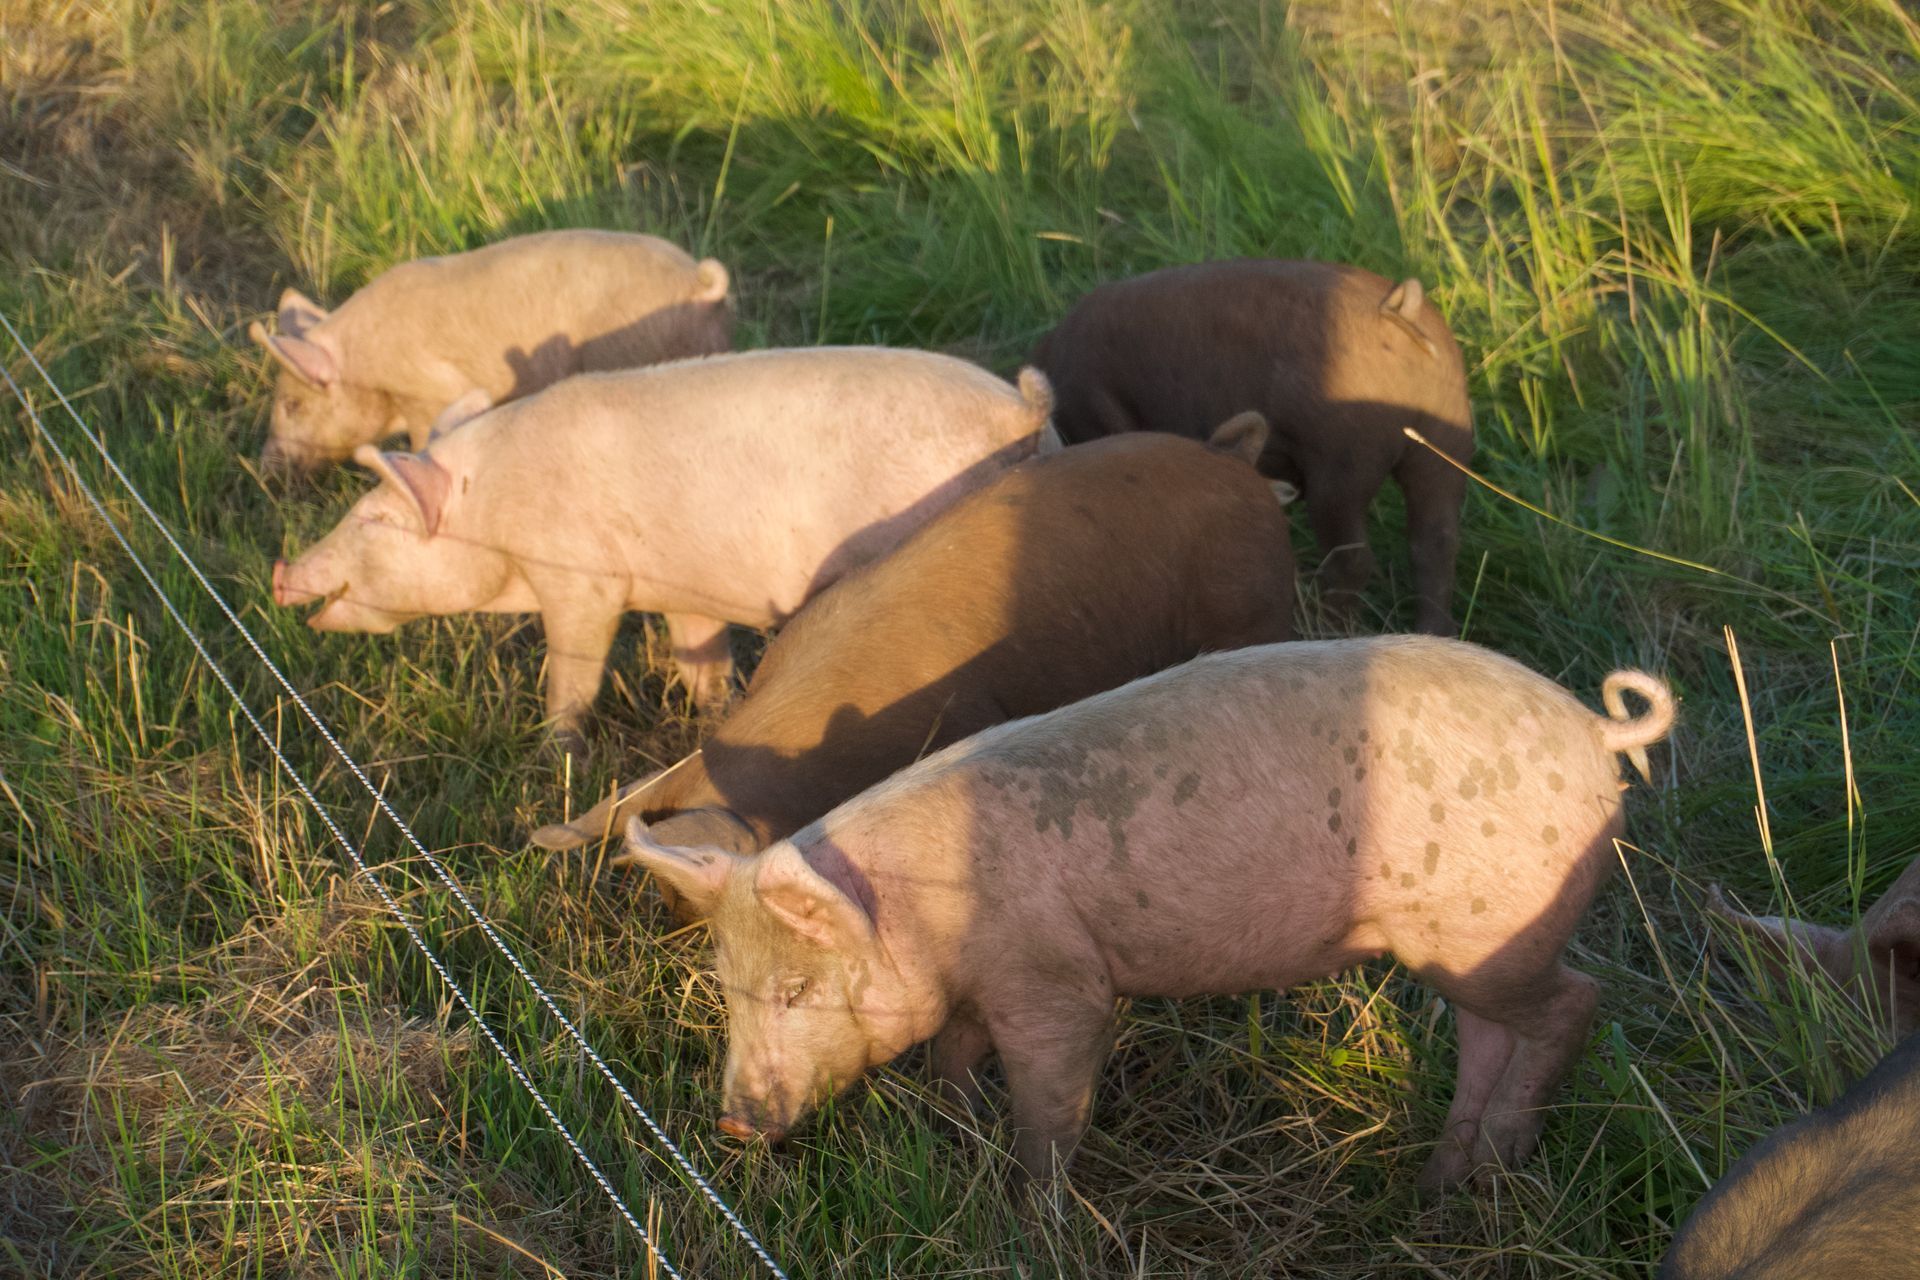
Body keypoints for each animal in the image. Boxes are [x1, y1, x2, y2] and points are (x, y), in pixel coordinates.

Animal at [270, 347, 1056, 752]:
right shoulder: (687, 593)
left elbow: (574, 669)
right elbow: (699, 661)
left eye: (375, 519)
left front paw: (554, 751)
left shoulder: (581, 579)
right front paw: (711, 720)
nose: (280, 573)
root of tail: (1021, 411)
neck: (495, 501)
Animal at [616, 634, 1674, 1190]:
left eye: (797, 991)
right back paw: (1445, 1180)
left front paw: (1030, 1208)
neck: (924, 910)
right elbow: (957, 1052)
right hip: (1461, 945)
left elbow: (1052, 1102)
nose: (733, 1126)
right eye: (729, 990)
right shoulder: (980, 987)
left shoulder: (1057, 980)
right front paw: (960, 1129)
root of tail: (1595, 731)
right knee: (1489, 1033)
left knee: (1575, 1004)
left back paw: (1495, 1167)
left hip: (1499, 930)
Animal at [1030, 259, 1474, 635]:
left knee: (1353, 559)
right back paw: (1434, 632)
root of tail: (1398, 314)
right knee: (1436, 543)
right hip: (1445, 445)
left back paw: (1322, 630)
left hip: (1342, 463)